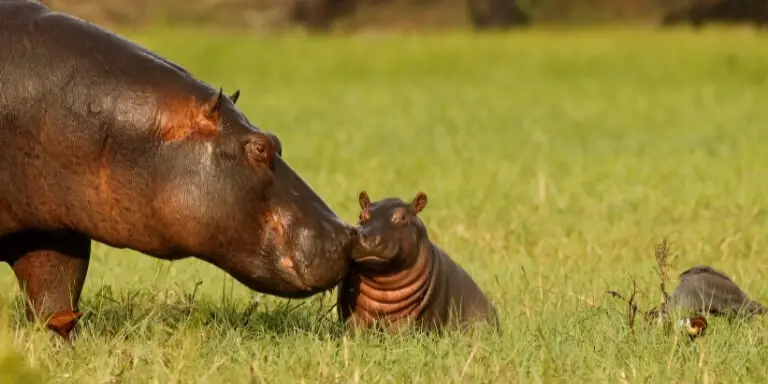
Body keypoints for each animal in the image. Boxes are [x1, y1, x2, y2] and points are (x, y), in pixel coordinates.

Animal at [336, 190, 498, 332]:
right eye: (361, 216)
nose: (367, 238)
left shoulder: (411, 318)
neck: (382, 282)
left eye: (402, 217)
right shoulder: (352, 312)